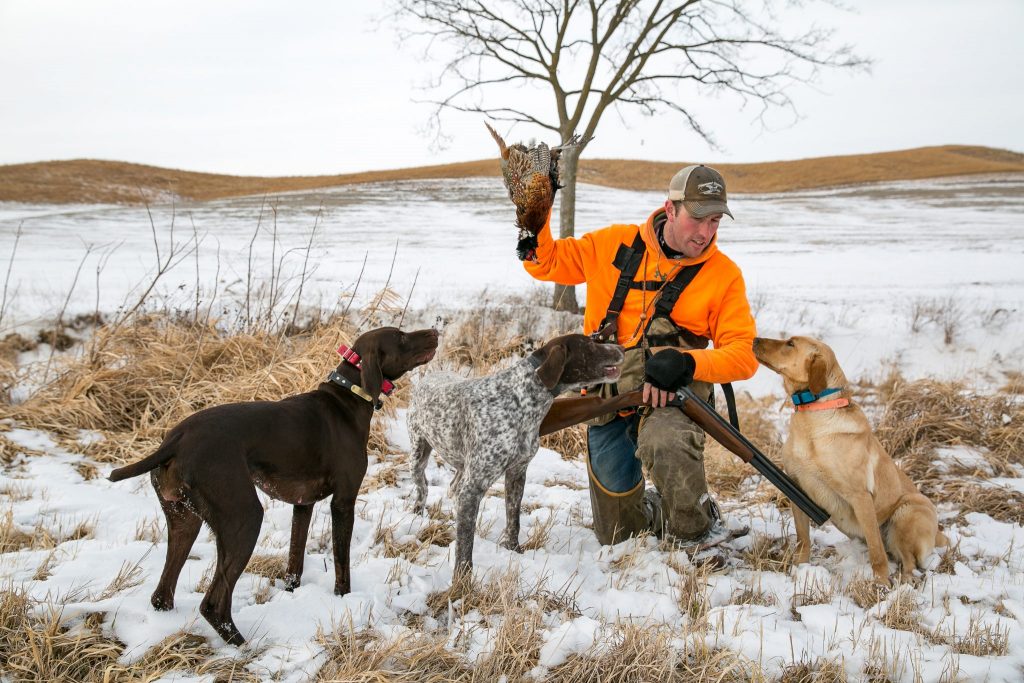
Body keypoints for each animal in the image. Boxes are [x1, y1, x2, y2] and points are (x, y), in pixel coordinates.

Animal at [110, 327, 438, 647]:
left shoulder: (303, 504)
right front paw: (344, 600)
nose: (435, 331)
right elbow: (341, 562)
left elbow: (295, 560)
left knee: (161, 595)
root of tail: (175, 440)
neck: (348, 396)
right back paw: (244, 646)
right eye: (401, 336)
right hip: (243, 518)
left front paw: (292, 594)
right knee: (213, 604)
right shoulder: (344, 502)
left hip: (184, 521)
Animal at [753, 335, 942, 589]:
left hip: (908, 510)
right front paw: (800, 571)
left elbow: (876, 551)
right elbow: (803, 539)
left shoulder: (860, 496)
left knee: (908, 561)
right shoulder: (796, 488)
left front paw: (881, 582)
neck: (813, 412)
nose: (754, 339)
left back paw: (905, 581)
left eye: (790, 343)